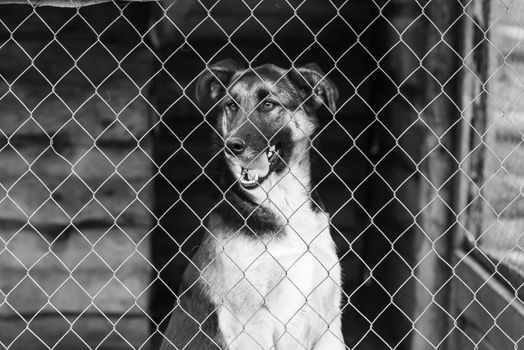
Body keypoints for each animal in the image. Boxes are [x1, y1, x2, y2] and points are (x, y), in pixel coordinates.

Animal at [160, 58, 344, 348]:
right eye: (231, 105)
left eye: (268, 104)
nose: (231, 145)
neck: (282, 203)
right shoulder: (251, 325)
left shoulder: (329, 326)